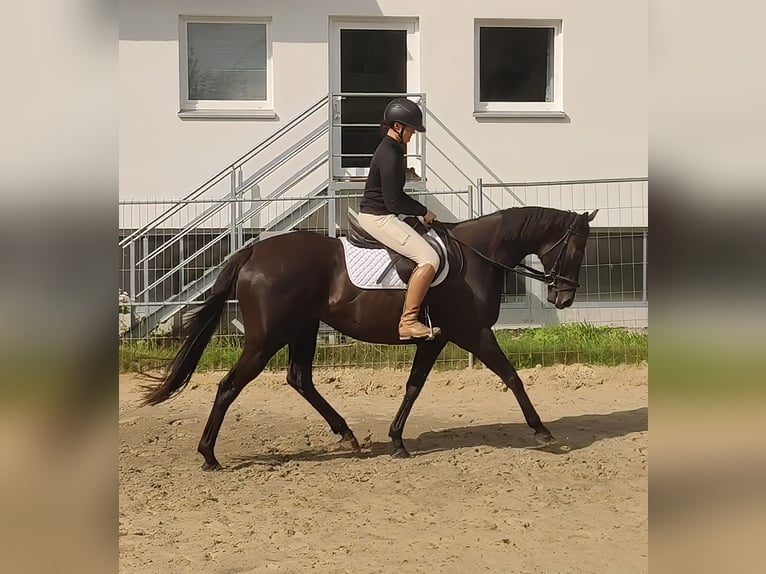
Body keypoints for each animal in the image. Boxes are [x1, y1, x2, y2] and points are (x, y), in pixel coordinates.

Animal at [142, 206, 598, 470]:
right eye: (577, 248)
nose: (564, 297)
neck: (475, 257)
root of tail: (254, 251)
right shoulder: (474, 333)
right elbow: (512, 377)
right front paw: (542, 431)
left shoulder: (436, 339)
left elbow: (414, 386)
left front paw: (396, 440)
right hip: (266, 339)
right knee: (229, 385)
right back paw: (208, 455)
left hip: (303, 329)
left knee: (299, 379)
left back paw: (347, 434)